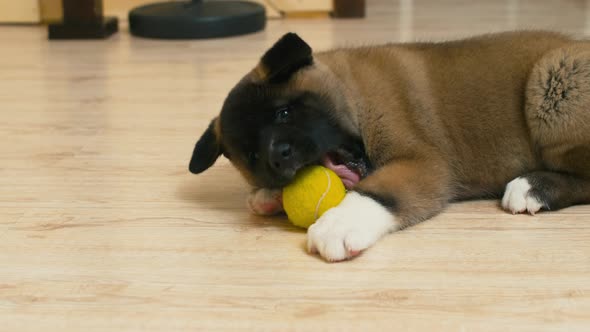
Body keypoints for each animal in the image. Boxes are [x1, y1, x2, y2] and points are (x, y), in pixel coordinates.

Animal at [190, 31, 590, 262]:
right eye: (253, 156)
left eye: (284, 112)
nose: (277, 158)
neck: (350, 91)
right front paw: (269, 195)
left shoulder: (422, 163)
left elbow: (377, 193)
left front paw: (340, 223)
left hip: (553, 77)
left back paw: (534, 187)